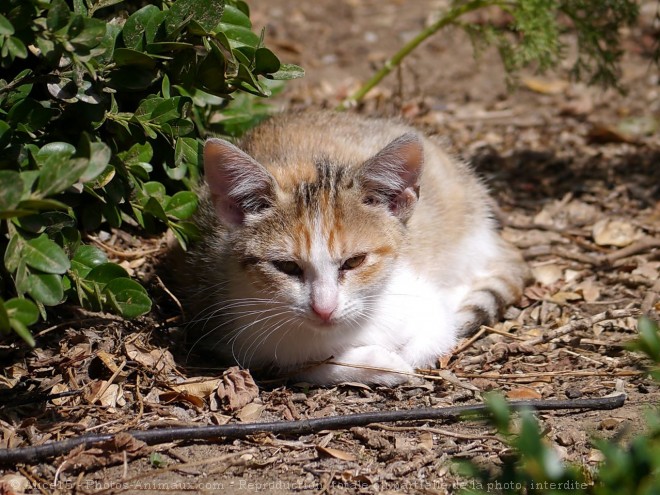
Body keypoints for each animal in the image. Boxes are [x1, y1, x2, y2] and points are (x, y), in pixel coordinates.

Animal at [173, 111, 528, 388]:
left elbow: (433, 333)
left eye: (354, 262)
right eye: (287, 267)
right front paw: (380, 365)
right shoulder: (231, 330)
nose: (324, 309)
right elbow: (300, 364)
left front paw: (404, 358)